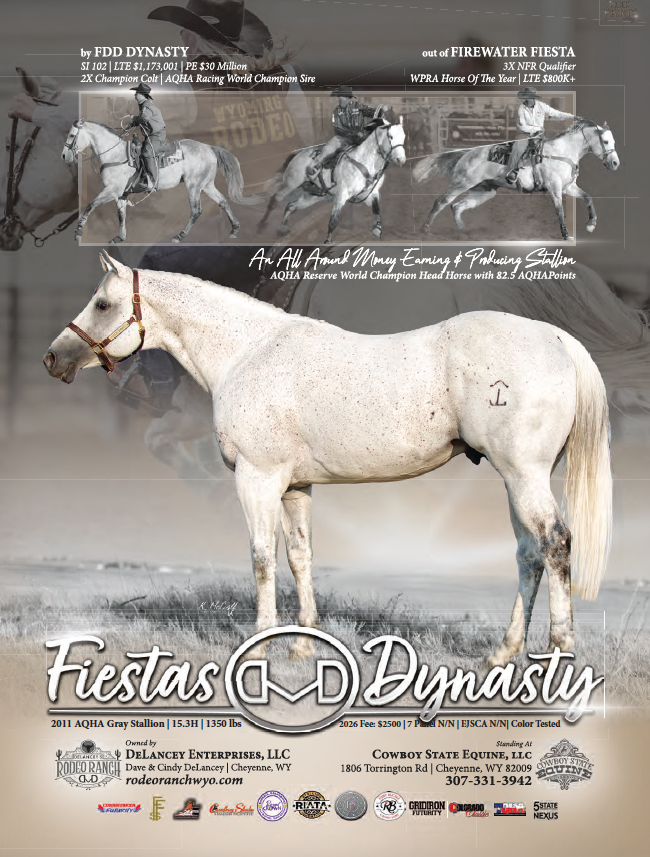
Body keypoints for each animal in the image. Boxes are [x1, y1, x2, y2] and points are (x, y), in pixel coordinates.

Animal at [44, 252, 612, 668]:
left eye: (102, 303)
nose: (53, 359)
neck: (248, 352)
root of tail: (555, 337)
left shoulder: (257, 479)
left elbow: (261, 557)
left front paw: (263, 644)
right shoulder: (295, 487)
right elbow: (301, 557)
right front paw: (301, 645)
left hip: (523, 475)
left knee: (555, 543)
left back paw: (560, 653)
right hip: (518, 479)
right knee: (528, 554)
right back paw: (502, 653)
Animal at [61, 121, 260, 244]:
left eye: (71, 135)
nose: (64, 156)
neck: (115, 155)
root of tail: (209, 147)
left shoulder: (112, 190)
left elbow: (91, 205)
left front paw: (78, 233)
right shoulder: (122, 194)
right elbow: (121, 215)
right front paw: (120, 237)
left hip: (194, 186)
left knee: (196, 211)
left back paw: (180, 236)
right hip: (207, 185)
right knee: (223, 202)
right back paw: (234, 229)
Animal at [257, 120, 406, 244]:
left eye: (404, 137)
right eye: (391, 137)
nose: (401, 160)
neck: (364, 162)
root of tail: (297, 155)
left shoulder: (371, 194)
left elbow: (376, 209)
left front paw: (377, 229)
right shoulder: (341, 195)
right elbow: (333, 221)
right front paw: (328, 241)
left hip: (313, 196)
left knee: (291, 206)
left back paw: (281, 229)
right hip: (291, 183)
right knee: (275, 199)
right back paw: (261, 226)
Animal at [413, 121, 620, 240]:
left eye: (613, 141)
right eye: (606, 142)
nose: (615, 163)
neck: (562, 152)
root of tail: (467, 153)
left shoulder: (568, 187)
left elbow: (588, 197)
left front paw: (591, 224)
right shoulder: (554, 188)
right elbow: (560, 211)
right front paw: (566, 235)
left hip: (484, 191)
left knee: (457, 206)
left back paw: (464, 231)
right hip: (461, 183)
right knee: (441, 202)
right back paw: (426, 229)